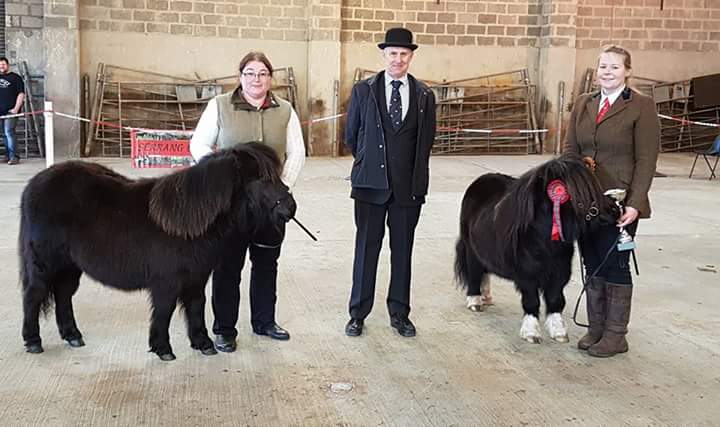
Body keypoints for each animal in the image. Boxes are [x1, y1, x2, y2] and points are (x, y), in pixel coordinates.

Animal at [19, 144, 296, 362]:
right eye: (260, 179)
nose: (290, 207)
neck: (187, 222)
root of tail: (35, 184)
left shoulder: (196, 279)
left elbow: (196, 307)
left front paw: (203, 343)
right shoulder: (167, 282)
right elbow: (165, 311)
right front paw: (163, 349)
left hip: (69, 266)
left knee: (63, 295)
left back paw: (73, 336)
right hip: (45, 264)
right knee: (34, 295)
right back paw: (33, 341)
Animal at [458, 154, 616, 344]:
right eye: (578, 193)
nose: (615, 210)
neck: (542, 239)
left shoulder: (559, 274)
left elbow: (555, 300)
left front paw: (559, 333)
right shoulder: (527, 276)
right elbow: (531, 301)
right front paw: (531, 333)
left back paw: (486, 297)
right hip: (471, 250)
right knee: (474, 272)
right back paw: (475, 302)